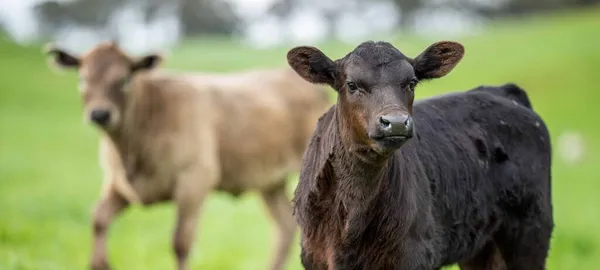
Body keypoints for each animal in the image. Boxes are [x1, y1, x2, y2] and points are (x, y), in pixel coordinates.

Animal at [44, 40, 330, 270]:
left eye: (124, 79)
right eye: (82, 79)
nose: (100, 114)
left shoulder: (195, 181)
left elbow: (181, 241)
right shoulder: (119, 184)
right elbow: (98, 219)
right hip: (269, 181)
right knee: (284, 227)